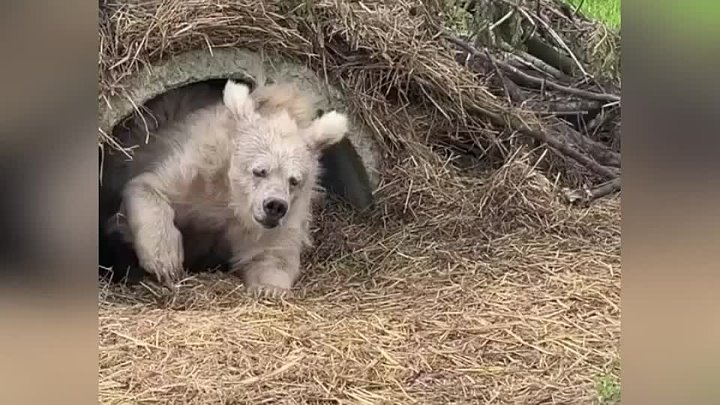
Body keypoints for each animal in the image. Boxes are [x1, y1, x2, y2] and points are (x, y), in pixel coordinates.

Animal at [109, 79, 349, 295]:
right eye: (259, 170)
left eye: (294, 180)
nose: (275, 206)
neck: (233, 197)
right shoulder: (198, 170)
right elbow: (148, 186)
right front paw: (166, 263)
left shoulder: (282, 218)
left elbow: (272, 254)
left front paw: (269, 289)